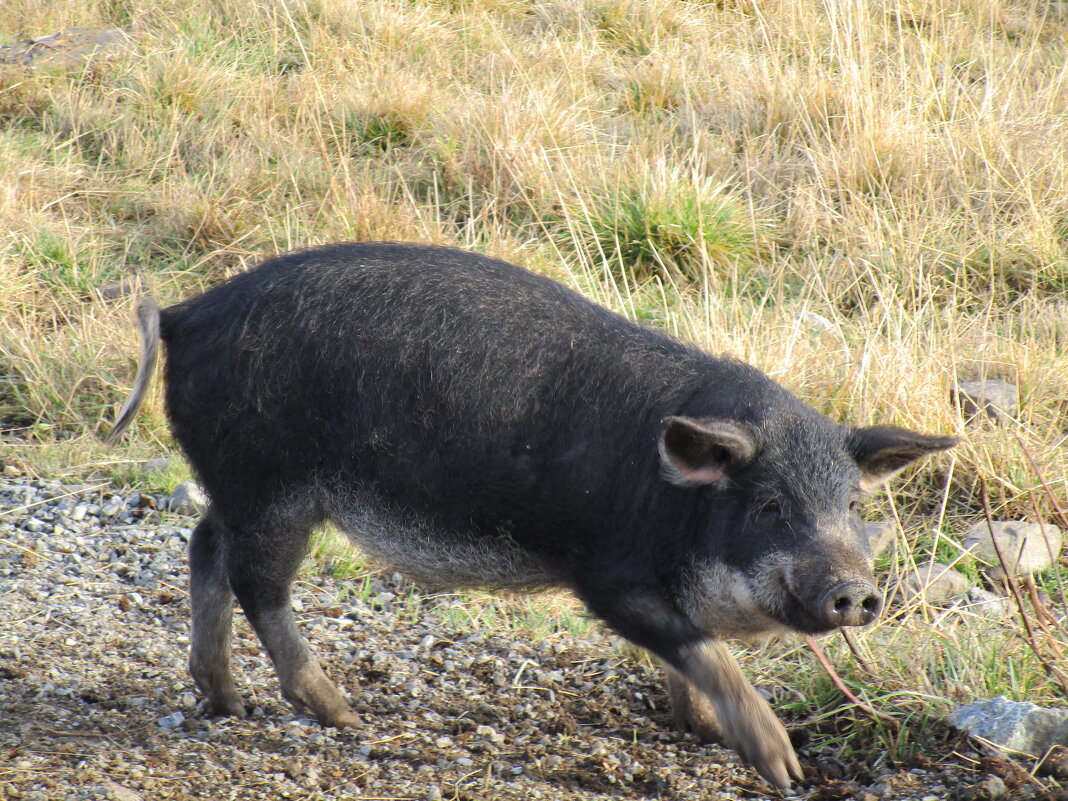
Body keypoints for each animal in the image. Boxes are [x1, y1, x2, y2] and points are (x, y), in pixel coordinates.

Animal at [106, 243, 961, 790]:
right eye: (771, 504)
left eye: (852, 504)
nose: (854, 590)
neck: (676, 503)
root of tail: (185, 312)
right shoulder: (605, 576)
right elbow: (701, 648)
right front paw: (784, 766)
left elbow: (691, 659)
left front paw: (698, 729)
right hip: (273, 488)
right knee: (258, 584)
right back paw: (343, 713)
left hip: (240, 487)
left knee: (204, 545)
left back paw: (226, 700)